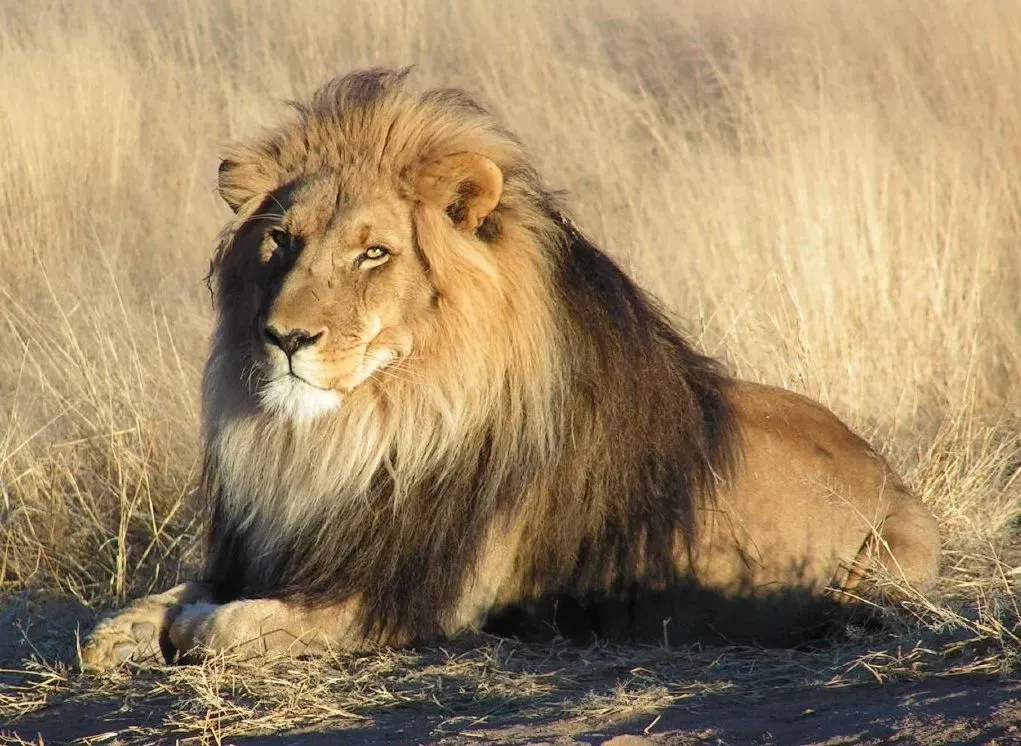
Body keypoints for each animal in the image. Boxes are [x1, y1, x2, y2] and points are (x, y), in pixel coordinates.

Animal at [82, 68, 940, 668]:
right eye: (280, 241)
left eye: (374, 253)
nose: (285, 337)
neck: (358, 434)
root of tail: (888, 471)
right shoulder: (279, 549)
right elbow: (145, 610)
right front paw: (127, 631)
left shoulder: (409, 600)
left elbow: (221, 628)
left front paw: (188, 627)